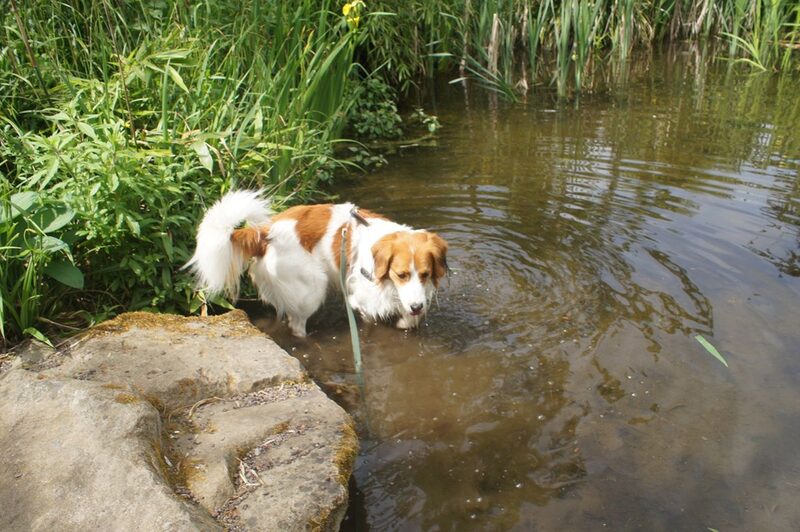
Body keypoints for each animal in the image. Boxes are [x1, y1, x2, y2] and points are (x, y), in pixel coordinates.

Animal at [188, 191, 450, 336]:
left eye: (425, 274)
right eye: (401, 274)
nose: (416, 306)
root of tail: (265, 233)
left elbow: (409, 318)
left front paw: (409, 318)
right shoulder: (362, 299)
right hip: (312, 288)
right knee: (296, 325)